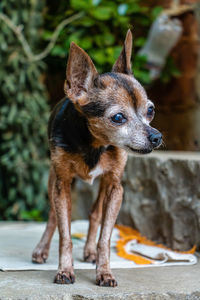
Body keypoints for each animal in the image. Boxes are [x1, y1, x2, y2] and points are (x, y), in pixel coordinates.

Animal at [31, 29, 162, 286]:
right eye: (118, 117)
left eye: (150, 110)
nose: (156, 137)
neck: (93, 145)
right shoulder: (62, 184)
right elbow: (65, 233)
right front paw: (64, 270)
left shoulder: (115, 187)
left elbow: (105, 236)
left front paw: (104, 271)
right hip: (53, 179)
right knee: (52, 216)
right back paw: (41, 249)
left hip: (105, 185)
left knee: (95, 213)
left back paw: (89, 251)